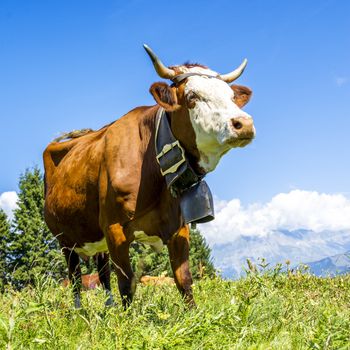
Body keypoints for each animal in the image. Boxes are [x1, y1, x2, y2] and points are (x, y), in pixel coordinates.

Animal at [43, 44, 256, 308]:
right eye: (192, 97)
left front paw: (193, 314)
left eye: (231, 96)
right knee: (74, 280)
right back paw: (79, 312)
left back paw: (108, 308)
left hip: (96, 239)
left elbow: (184, 280)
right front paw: (125, 318)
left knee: (102, 274)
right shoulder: (114, 228)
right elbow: (127, 284)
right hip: (65, 240)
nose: (244, 123)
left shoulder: (178, 227)